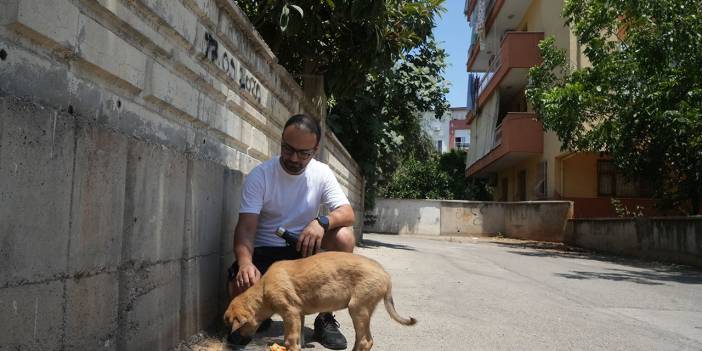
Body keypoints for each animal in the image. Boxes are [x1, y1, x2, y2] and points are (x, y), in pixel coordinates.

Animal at [224, 253, 418, 351]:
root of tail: (385, 274)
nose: (229, 342)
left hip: (358, 308)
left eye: (234, 326)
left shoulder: (290, 313)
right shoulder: (298, 314)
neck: (263, 290)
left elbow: (290, 340)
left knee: (366, 341)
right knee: (361, 339)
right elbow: (299, 338)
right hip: (361, 311)